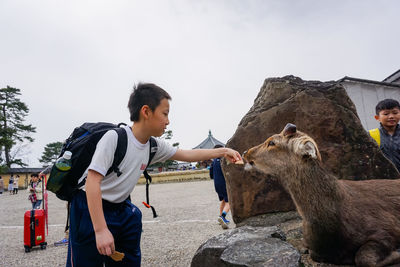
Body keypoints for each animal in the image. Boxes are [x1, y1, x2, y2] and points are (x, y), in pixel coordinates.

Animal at [242, 124, 400, 266]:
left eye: (272, 142)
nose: (245, 152)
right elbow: (316, 254)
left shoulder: (385, 229)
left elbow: (364, 258)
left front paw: (396, 254)